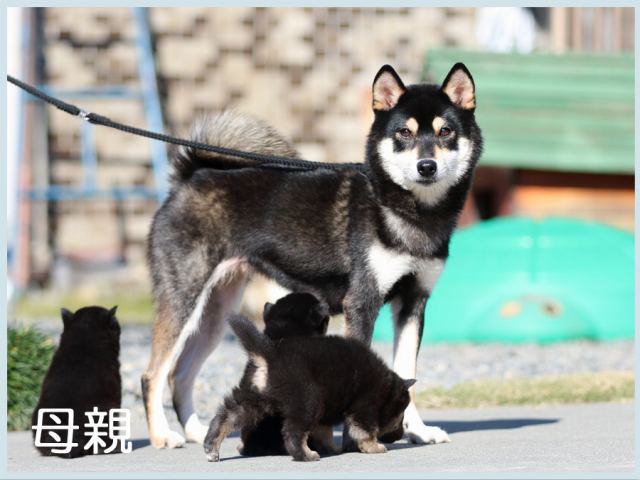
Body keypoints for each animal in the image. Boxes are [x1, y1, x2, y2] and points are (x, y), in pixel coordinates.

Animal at [206, 314, 416, 464]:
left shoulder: (326, 416)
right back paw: (306, 455)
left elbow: (324, 433)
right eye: (400, 419)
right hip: (308, 400)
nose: (400, 436)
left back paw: (211, 446)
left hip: (254, 398)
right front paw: (374, 447)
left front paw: (332, 449)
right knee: (293, 432)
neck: (387, 389)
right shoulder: (365, 406)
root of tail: (269, 354)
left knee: (226, 416)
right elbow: (366, 431)